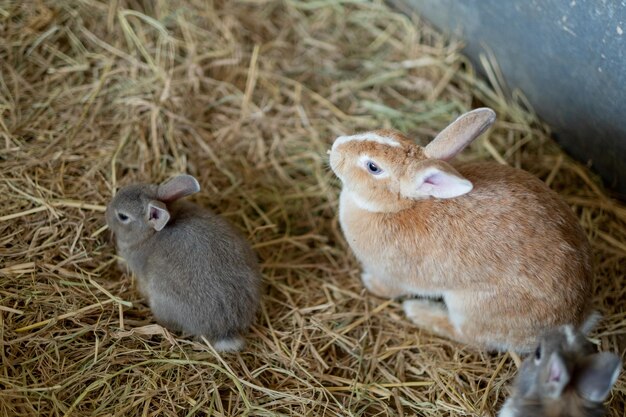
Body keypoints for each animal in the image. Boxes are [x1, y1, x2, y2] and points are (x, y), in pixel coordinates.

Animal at [330, 107, 592, 352]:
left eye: (373, 167)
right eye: (387, 132)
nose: (335, 147)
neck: (397, 208)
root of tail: (577, 319)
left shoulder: (393, 276)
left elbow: (388, 289)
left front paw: (368, 282)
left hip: (471, 307)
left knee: (469, 336)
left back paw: (418, 311)